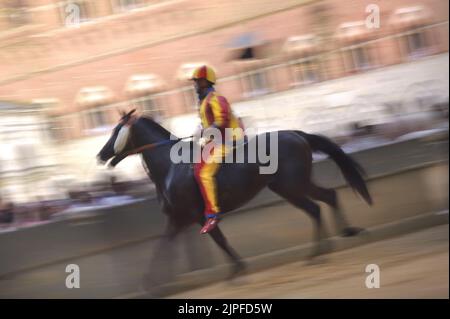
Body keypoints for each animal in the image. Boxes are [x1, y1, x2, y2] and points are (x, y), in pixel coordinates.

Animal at [96, 110, 370, 288]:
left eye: (116, 131)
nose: (100, 155)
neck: (171, 165)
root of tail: (296, 134)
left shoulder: (194, 216)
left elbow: (216, 241)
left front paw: (237, 270)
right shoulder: (177, 218)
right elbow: (164, 246)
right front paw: (152, 282)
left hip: (292, 186)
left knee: (316, 206)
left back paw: (320, 251)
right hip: (290, 186)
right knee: (326, 198)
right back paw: (340, 236)